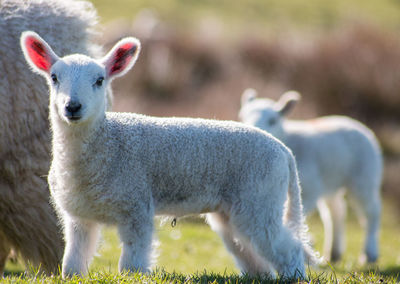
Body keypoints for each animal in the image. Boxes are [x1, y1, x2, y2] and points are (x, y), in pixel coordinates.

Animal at [20, 31, 318, 280]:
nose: (73, 106)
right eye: (54, 78)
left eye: (100, 80)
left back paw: (294, 276)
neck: (106, 144)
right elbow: (73, 259)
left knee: (285, 245)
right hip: (234, 209)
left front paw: (133, 277)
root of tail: (284, 152)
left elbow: (133, 261)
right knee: (251, 252)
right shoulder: (78, 215)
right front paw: (72, 275)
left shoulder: (136, 204)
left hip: (260, 197)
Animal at [239, 89, 382, 264]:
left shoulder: (310, 188)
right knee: (336, 212)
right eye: (242, 116)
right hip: (331, 181)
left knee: (372, 211)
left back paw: (370, 253)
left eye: (273, 120)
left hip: (365, 175)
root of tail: (357, 124)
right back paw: (334, 253)